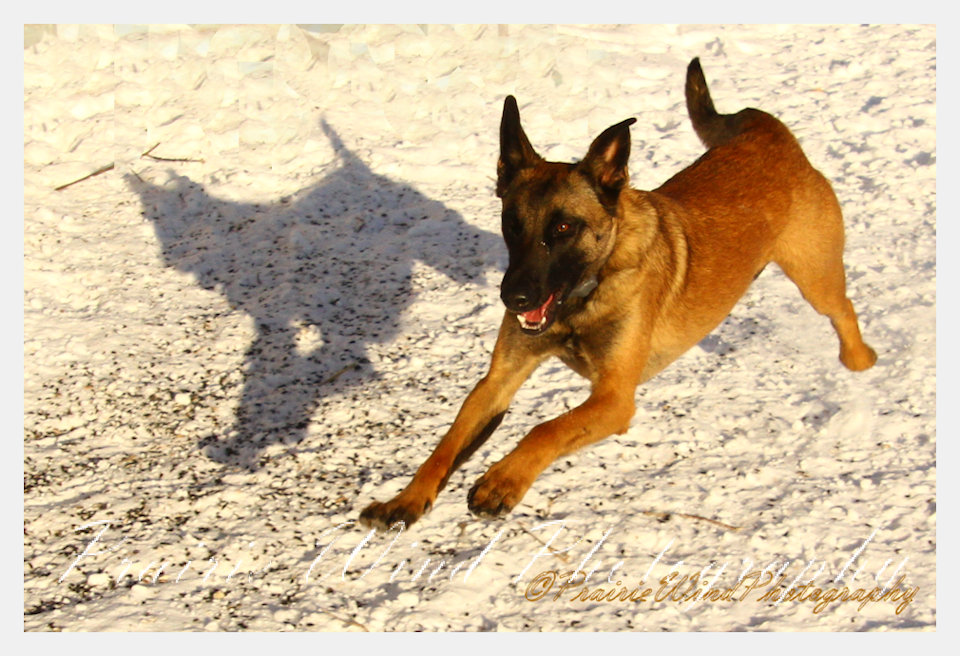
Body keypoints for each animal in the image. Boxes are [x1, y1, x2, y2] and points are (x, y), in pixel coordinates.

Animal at [359, 58, 877, 529]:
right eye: (512, 223)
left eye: (563, 227)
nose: (515, 298)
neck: (584, 296)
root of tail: (765, 132)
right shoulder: (497, 383)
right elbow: (446, 444)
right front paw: (406, 500)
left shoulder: (613, 399)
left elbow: (545, 429)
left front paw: (503, 481)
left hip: (814, 274)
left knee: (844, 309)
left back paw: (858, 360)